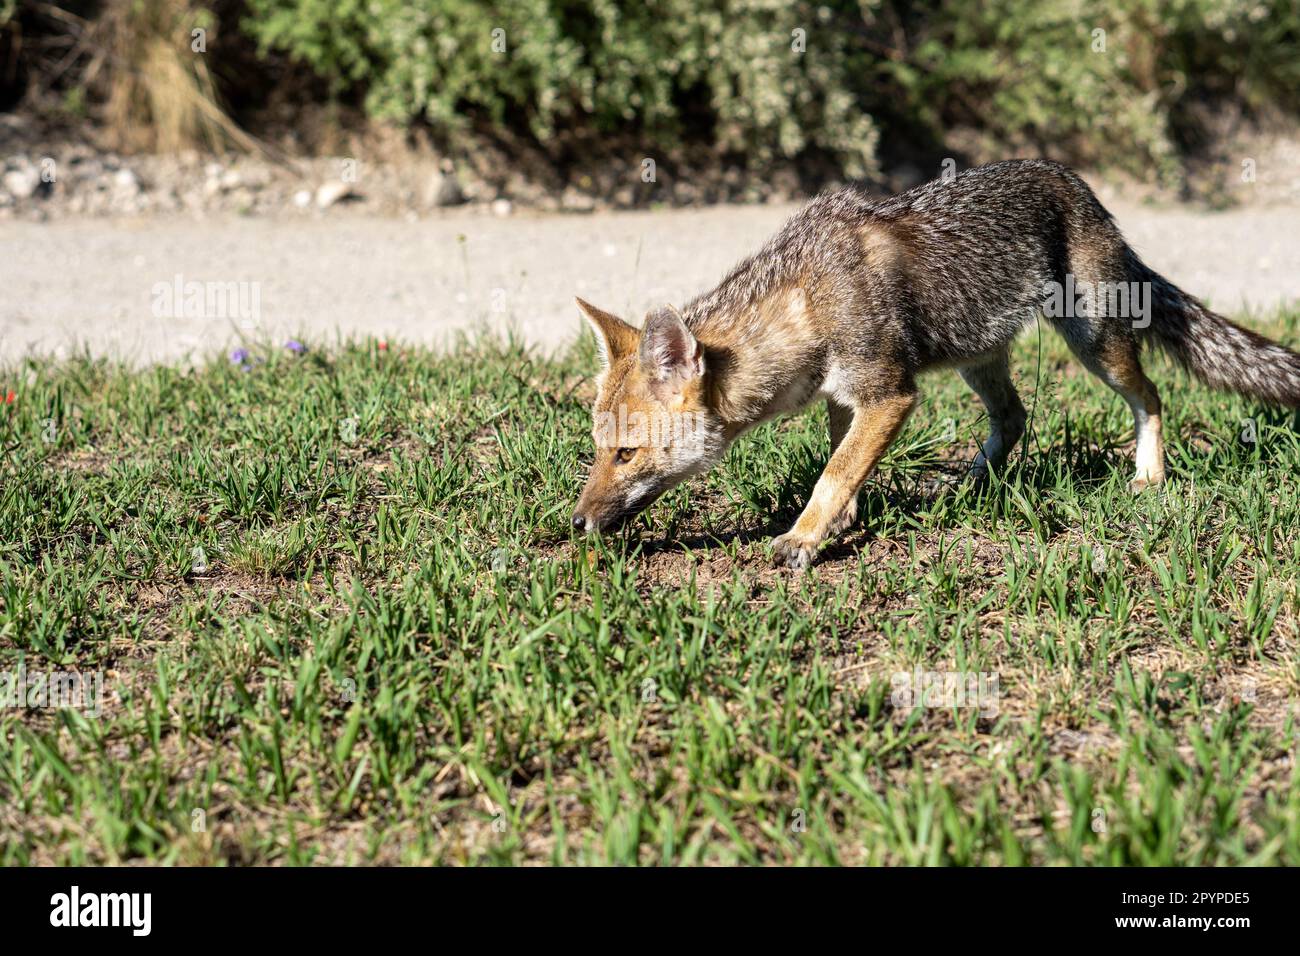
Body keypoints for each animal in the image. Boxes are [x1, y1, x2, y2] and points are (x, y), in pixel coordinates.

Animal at [571, 159, 1300, 568]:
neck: (806, 299)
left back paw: (1148, 476)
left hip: (1094, 346)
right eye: (598, 451)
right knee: (1015, 419)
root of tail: (1087, 193)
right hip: (979, 359)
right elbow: (843, 463)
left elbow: (832, 475)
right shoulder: (847, 398)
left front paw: (804, 538)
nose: (573, 523)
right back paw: (971, 486)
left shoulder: (890, 395)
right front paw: (843, 522)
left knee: (1151, 397)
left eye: (627, 455)